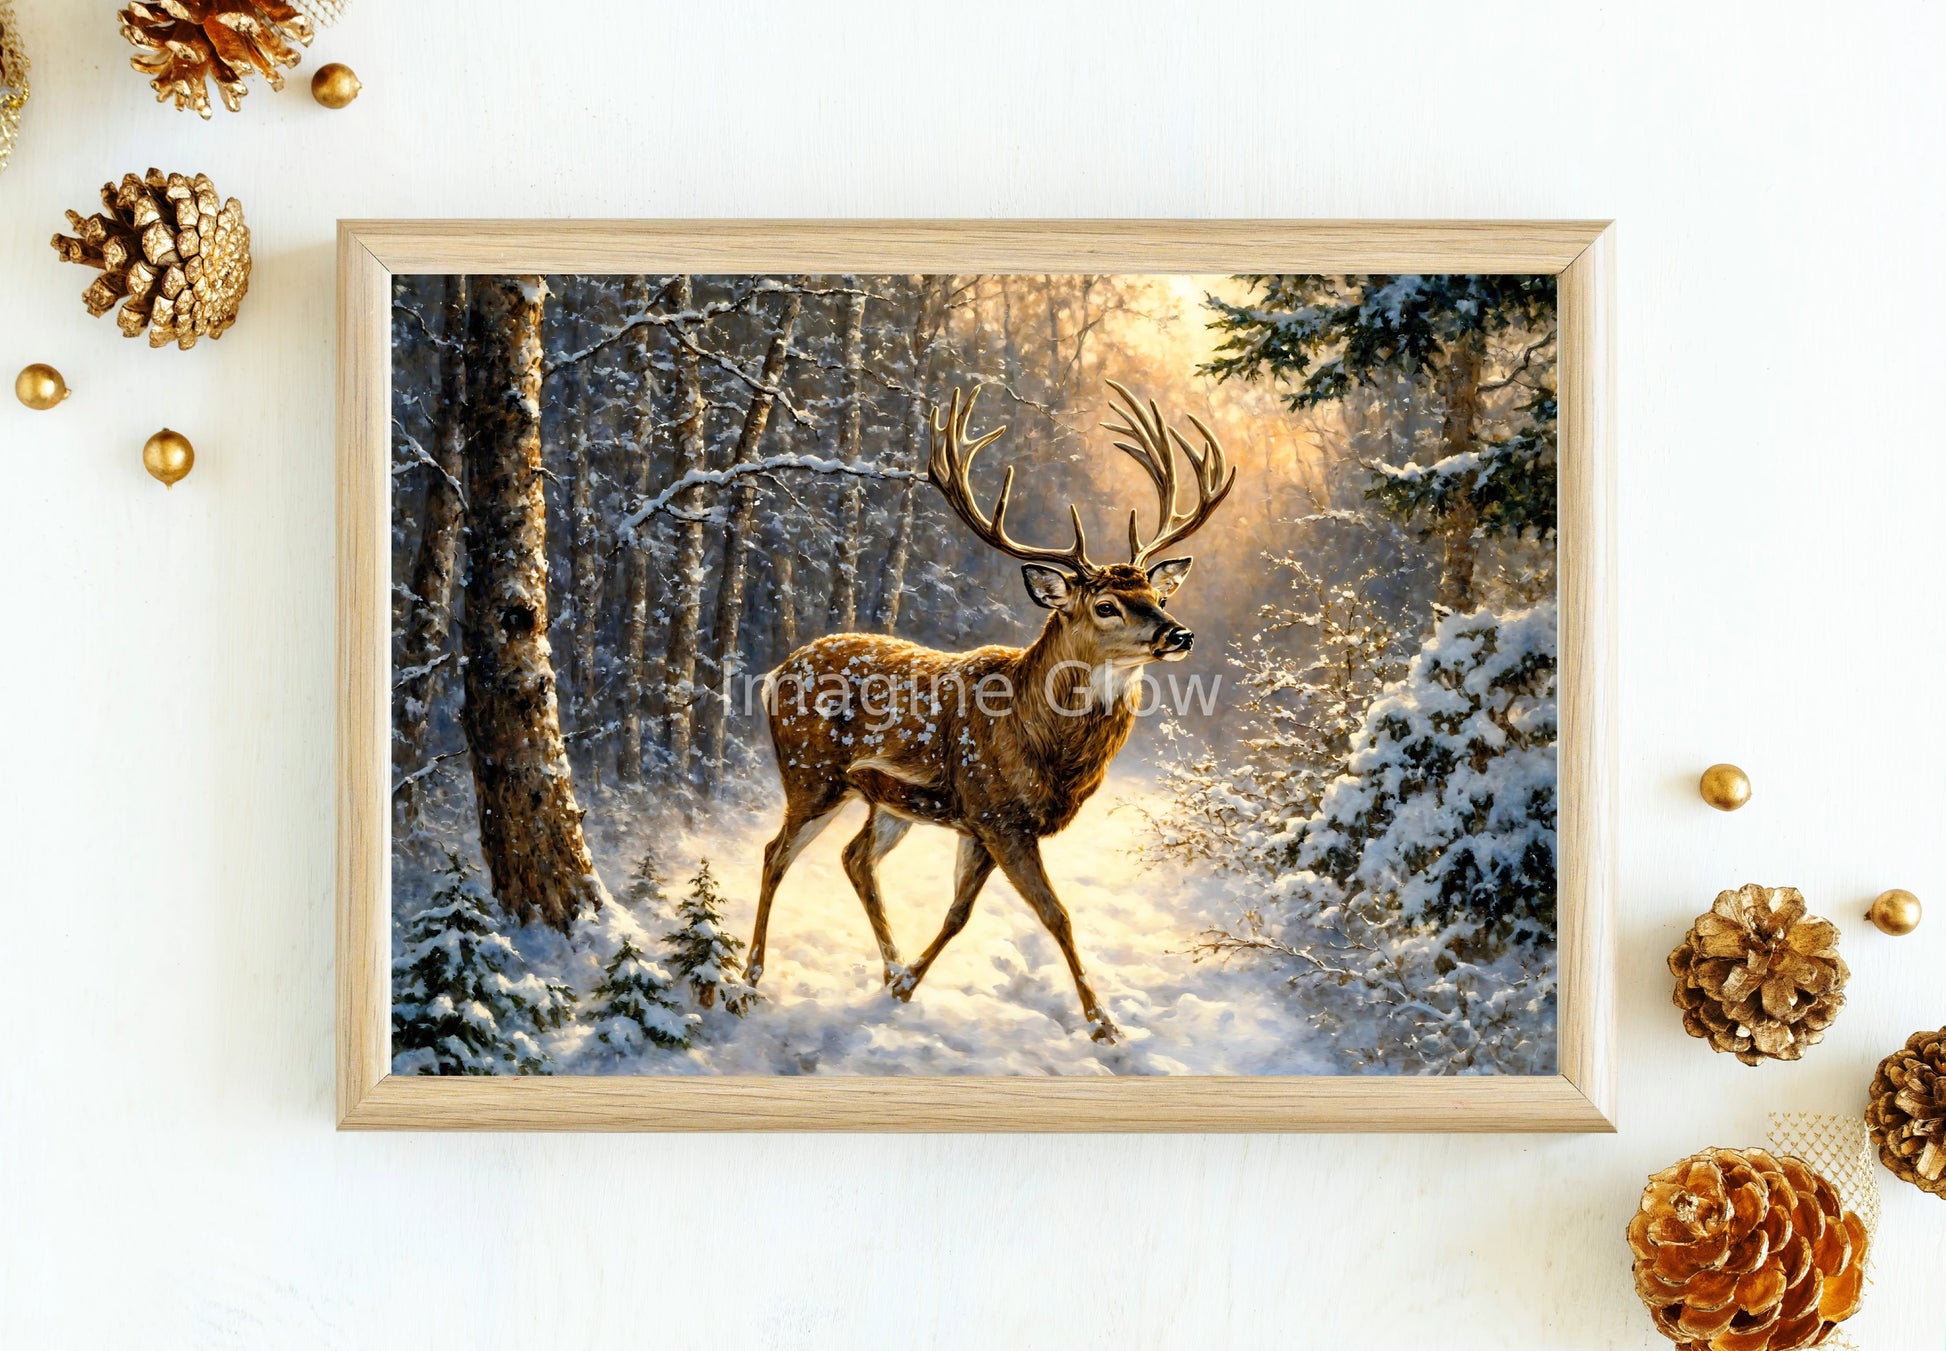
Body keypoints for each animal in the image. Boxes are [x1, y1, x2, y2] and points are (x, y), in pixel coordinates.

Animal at [748, 381, 1234, 1044]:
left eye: (1156, 595)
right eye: (1106, 605)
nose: (1179, 633)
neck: (1042, 740)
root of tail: (775, 672)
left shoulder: (976, 822)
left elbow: (959, 912)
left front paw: (905, 984)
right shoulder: (998, 814)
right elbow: (1056, 915)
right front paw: (1103, 1024)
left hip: (886, 800)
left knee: (854, 858)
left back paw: (886, 966)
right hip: (810, 773)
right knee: (776, 853)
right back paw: (748, 978)